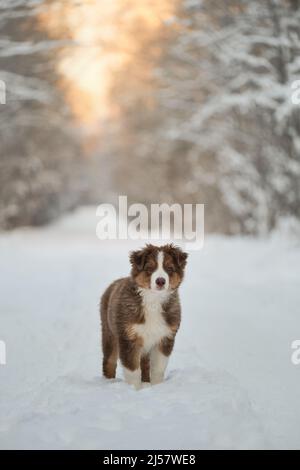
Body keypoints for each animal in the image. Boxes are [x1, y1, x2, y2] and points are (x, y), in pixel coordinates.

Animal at [100, 244, 188, 388]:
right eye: (149, 269)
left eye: (169, 268)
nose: (160, 281)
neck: (153, 301)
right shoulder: (128, 338)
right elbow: (133, 370)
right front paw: (135, 389)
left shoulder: (165, 338)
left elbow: (158, 368)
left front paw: (157, 387)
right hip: (109, 333)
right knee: (109, 361)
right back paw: (108, 382)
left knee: (145, 363)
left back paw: (146, 382)